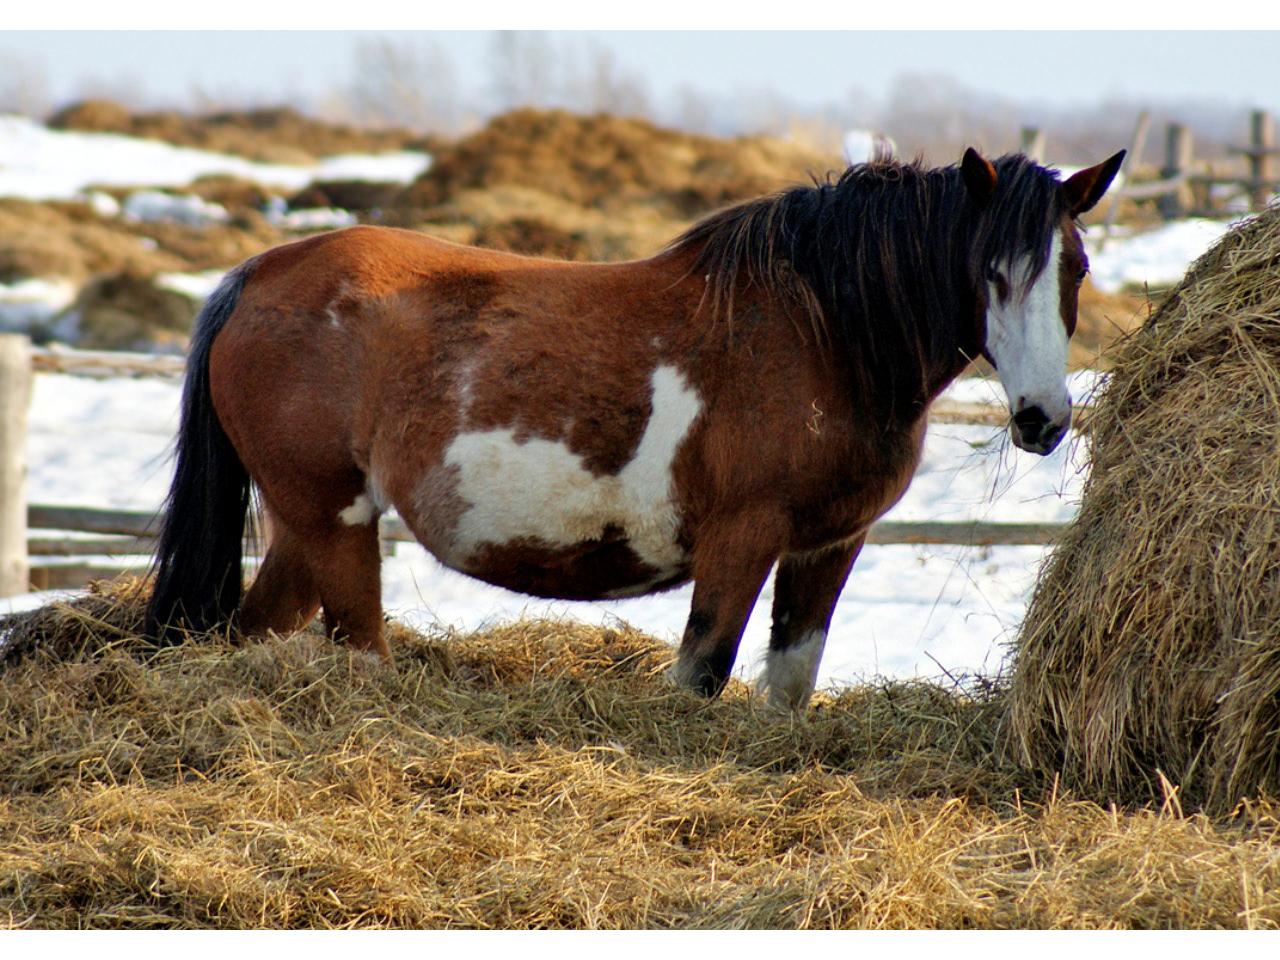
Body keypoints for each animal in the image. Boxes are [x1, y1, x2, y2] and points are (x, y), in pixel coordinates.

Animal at [145, 146, 1121, 711]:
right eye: (988, 269)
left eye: (1073, 266)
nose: (1042, 419)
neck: (821, 331)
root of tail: (258, 276)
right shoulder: (743, 538)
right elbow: (702, 674)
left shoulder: (828, 544)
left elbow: (789, 686)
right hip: (335, 523)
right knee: (359, 652)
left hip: (305, 529)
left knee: (250, 630)